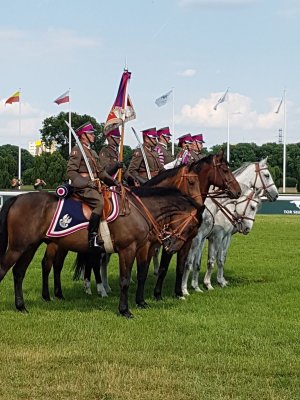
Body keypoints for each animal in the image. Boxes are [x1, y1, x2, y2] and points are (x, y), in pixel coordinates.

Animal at [0, 186, 204, 318]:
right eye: (192, 226)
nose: (173, 247)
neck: (138, 210)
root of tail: (17, 198)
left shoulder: (142, 248)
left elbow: (141, 274)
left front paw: (141, 302)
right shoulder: (128, 249)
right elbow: (124, 280)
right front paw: (124, 310)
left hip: (30, 247)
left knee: (19, 273)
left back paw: (22, 307)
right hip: (19, 247)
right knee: (6, 269)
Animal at [182, 158, 280, 296]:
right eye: (267, 175)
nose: (276, 195)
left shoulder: (222, 236)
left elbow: (219, 259)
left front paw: (216, 282)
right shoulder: (215, 237)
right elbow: (210, 260)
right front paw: (208, 284)